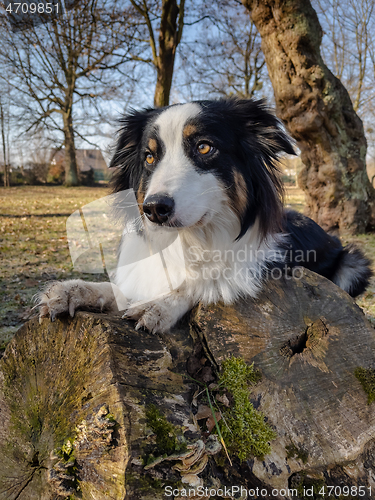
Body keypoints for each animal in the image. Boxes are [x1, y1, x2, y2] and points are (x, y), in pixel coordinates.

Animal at [38, 97, 374, 332]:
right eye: (149, 157)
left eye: (203, 147)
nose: (154, 209)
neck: (189, 239)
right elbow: (121, 288)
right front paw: (75, 289)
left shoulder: (263, 267)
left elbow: (202, 281)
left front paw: (158, 305)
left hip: (353, 264)